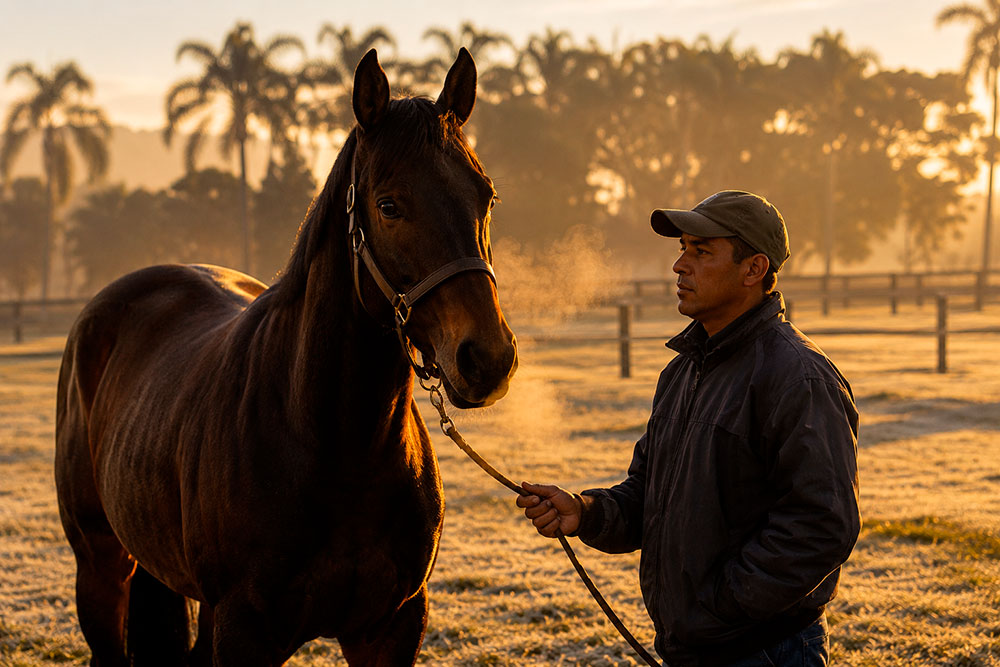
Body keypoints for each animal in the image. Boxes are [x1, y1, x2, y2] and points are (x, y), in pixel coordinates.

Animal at [54, 48, 517, 666]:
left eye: (485, 196)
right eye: (389, 205)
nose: (486, 358)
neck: (337, 446)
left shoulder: (391, 626)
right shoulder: (243, 631)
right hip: (100, 569)